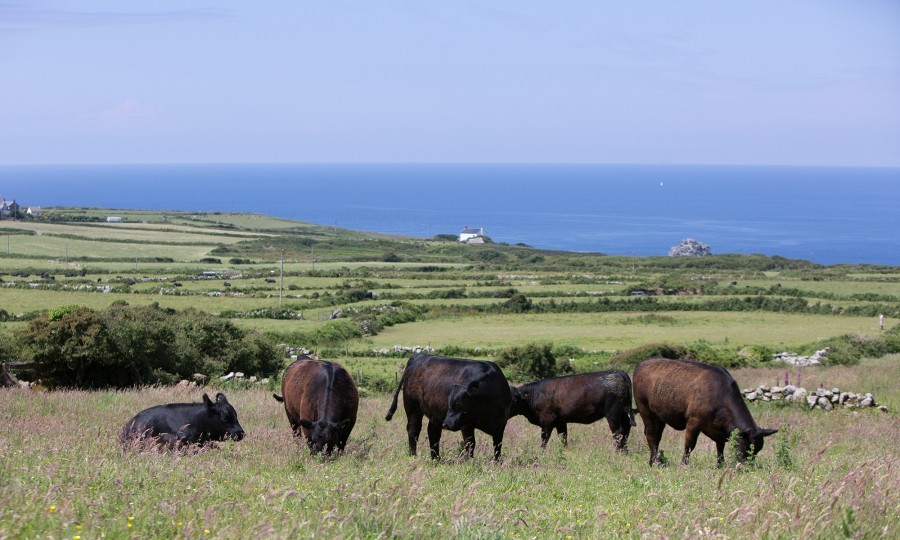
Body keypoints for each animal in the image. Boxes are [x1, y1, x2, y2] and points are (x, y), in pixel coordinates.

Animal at [384, 354, 512, 460]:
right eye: (450, 405)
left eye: (459, 405)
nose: (446, 424)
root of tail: (418, 356)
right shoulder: (467, 425)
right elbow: (470, 443)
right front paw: (470, 461)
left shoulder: (501, 424)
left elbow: (497, 445)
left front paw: (497, 462)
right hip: (412, 407)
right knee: (413, 430)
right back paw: (413, 455)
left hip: (434, 414)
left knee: (433, 432)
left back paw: (436, 458)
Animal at [628, 356, 776, 466]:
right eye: (746, 446)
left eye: (757, 449)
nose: (746, 466)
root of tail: (641, 364)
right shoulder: (694, 422)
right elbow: (690, 445)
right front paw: (684, 464)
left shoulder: (716, 428)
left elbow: (720, 445)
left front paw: (720, 464)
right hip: (646, 411)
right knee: (651, 435)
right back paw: (657, 462)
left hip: (659, 416)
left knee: (657, 436)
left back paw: (653, 460)